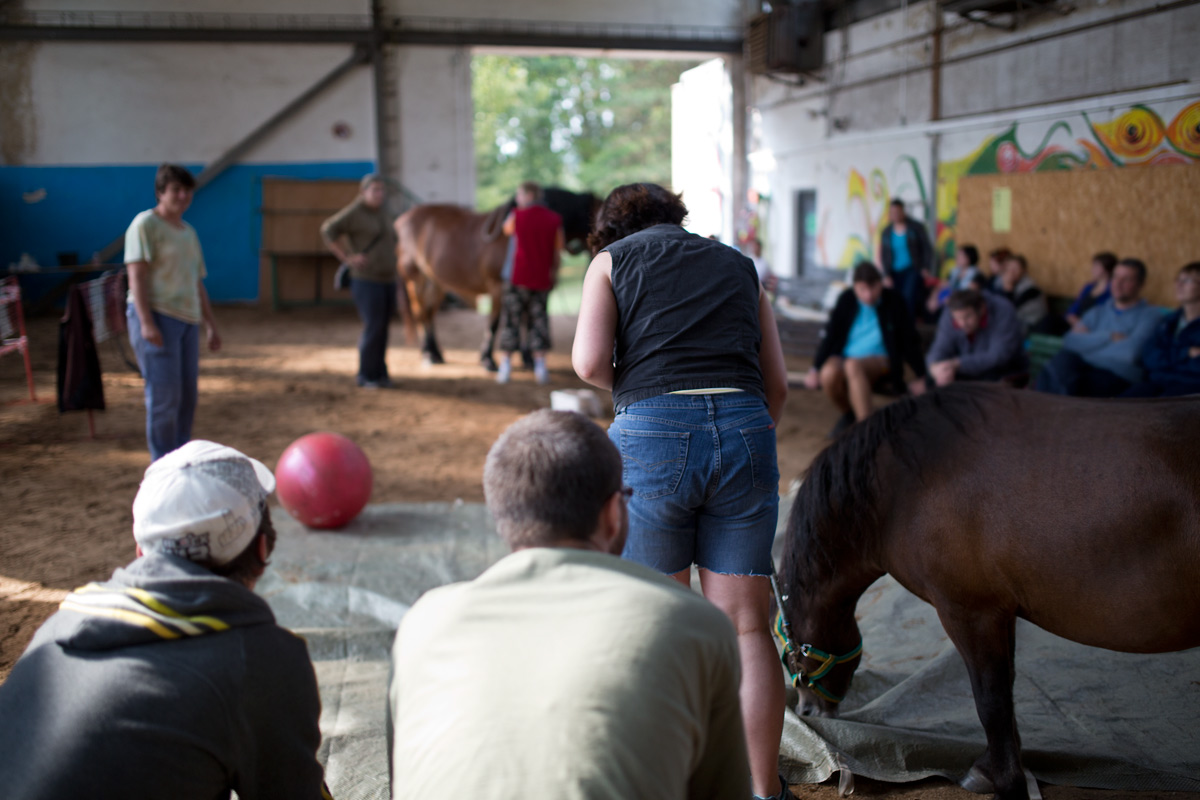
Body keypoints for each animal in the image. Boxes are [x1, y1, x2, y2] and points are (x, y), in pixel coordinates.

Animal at [777, 383, 1200, 796]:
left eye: (790, 655)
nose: (807, 711)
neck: (903, 485)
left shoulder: (969, 611)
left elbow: (991, 700)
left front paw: (1006, 781)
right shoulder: (1001, 611)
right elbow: (1006, 690)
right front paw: (998, 768)